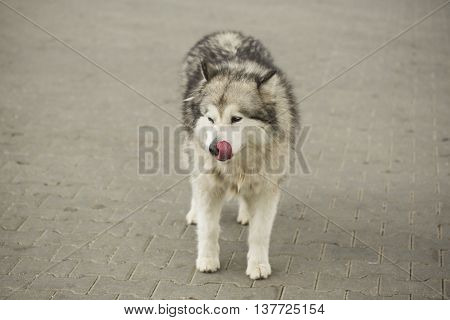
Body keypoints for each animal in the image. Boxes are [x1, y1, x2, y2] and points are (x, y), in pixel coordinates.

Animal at [179, 31, 298, 278]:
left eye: (236, 119)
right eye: (211, 118)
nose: (214, 148)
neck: (238, 162)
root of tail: (227, 33)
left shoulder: (267, 189)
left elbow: (259, 233)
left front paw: (258, 265)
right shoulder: (208, 185)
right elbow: (209, 228)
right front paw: (207, 259)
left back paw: (245, 213)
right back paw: (195, 213)